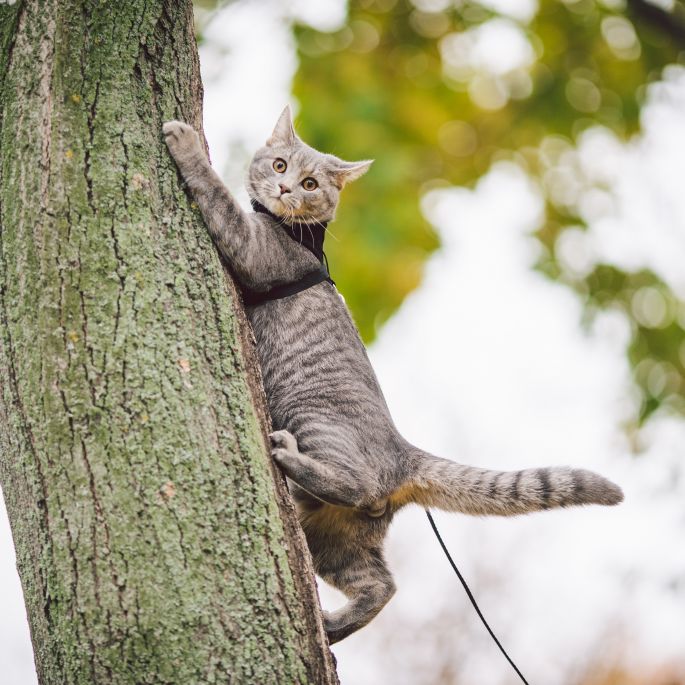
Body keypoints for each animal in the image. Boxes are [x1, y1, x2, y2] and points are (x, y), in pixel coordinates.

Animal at [163, 108, 624, 648]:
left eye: (310, 183)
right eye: (279, 164)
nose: (284, 188)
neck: (294, 232)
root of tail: (403, 452)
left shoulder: (252, 249)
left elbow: (218, 196)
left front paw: (186, 143)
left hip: (314, 421)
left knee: (358, 486)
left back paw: (289, 456)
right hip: (335, 541)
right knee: (382, 585)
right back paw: (334, 626)